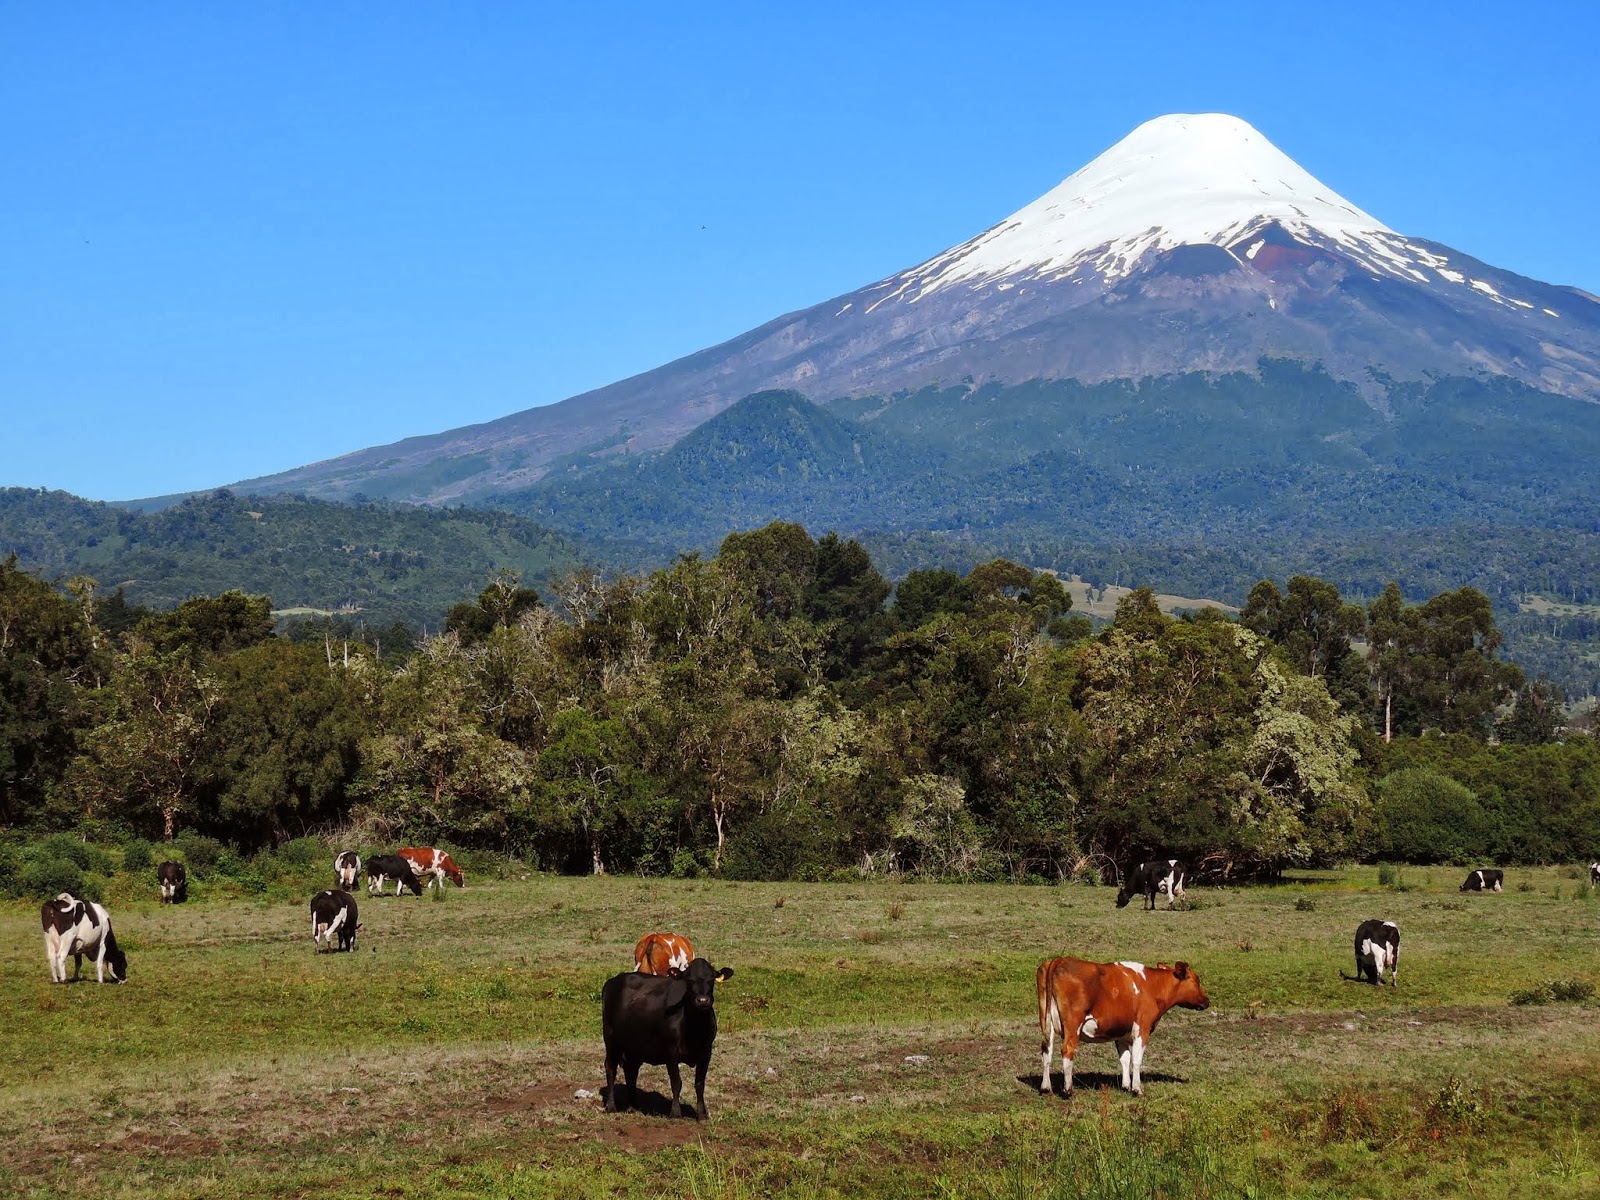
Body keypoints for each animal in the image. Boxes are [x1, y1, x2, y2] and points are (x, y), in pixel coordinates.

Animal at [601, 960, 732, 1120]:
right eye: (689, 980)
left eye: (712, 979)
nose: (702, 1001)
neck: (694, 1030)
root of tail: (614, 980)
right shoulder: (671, 1052)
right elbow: (676, 1082)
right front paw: (675, 1112)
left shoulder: (706, 1052)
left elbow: (700, 1083)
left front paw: (702, 1114)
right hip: (610, 1038)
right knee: (610, 1067)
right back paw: (611, 1106)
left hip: (634, 1046)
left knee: (631, 1070)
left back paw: (633, 1106)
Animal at [1036, 960, 1209, 1100]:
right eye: (1196, 981)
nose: (1207, 1000)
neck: (1152, 986)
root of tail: (1058, 960)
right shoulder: (1142, 1028)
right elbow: (1136, 1060)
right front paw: (1137, 1089)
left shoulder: (1122, 1033)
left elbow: (1125, 1059)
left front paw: (1126, 1086)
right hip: (1073, 1025)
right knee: (1067, 1051)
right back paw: (1068, 1090)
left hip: (1046, 1023)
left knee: (1047, 1051)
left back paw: (1045, 1088)